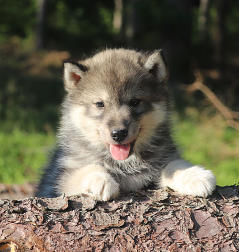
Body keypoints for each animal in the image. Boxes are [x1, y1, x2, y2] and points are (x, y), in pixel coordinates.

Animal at [36, 48, 217, 200]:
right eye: (100, 104)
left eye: (134, 102)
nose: (118, 134)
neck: (125, 164)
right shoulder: (59, 179)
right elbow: (83, 170)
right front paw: (100, 180)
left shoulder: (160, 162)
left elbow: (174, 163)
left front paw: (194, 175)